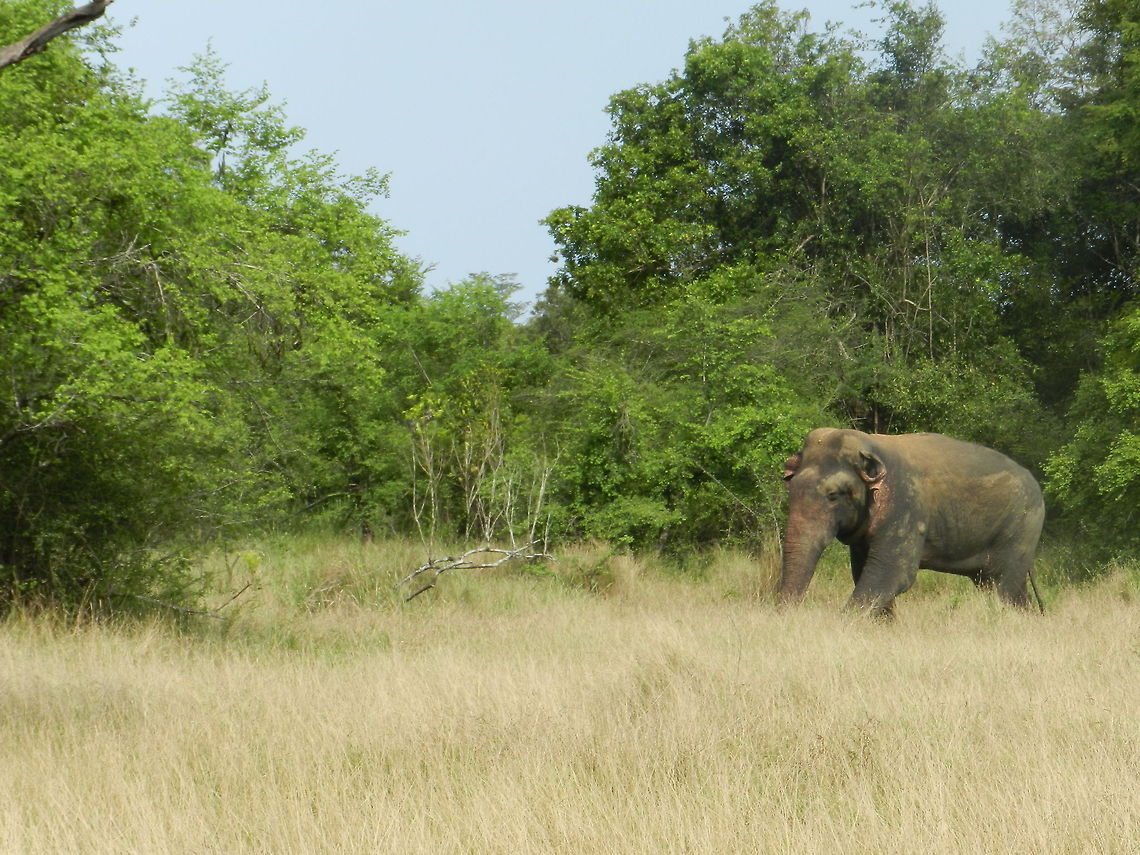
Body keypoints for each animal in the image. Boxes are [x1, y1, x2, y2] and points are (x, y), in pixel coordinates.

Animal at [778, 428, 1044, 616]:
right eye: (790, 490)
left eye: (833, 495)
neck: (871, 445)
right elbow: (864, 571)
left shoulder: (906, 507)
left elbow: (892, 574)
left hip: (1021, 529)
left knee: (1003, 586)